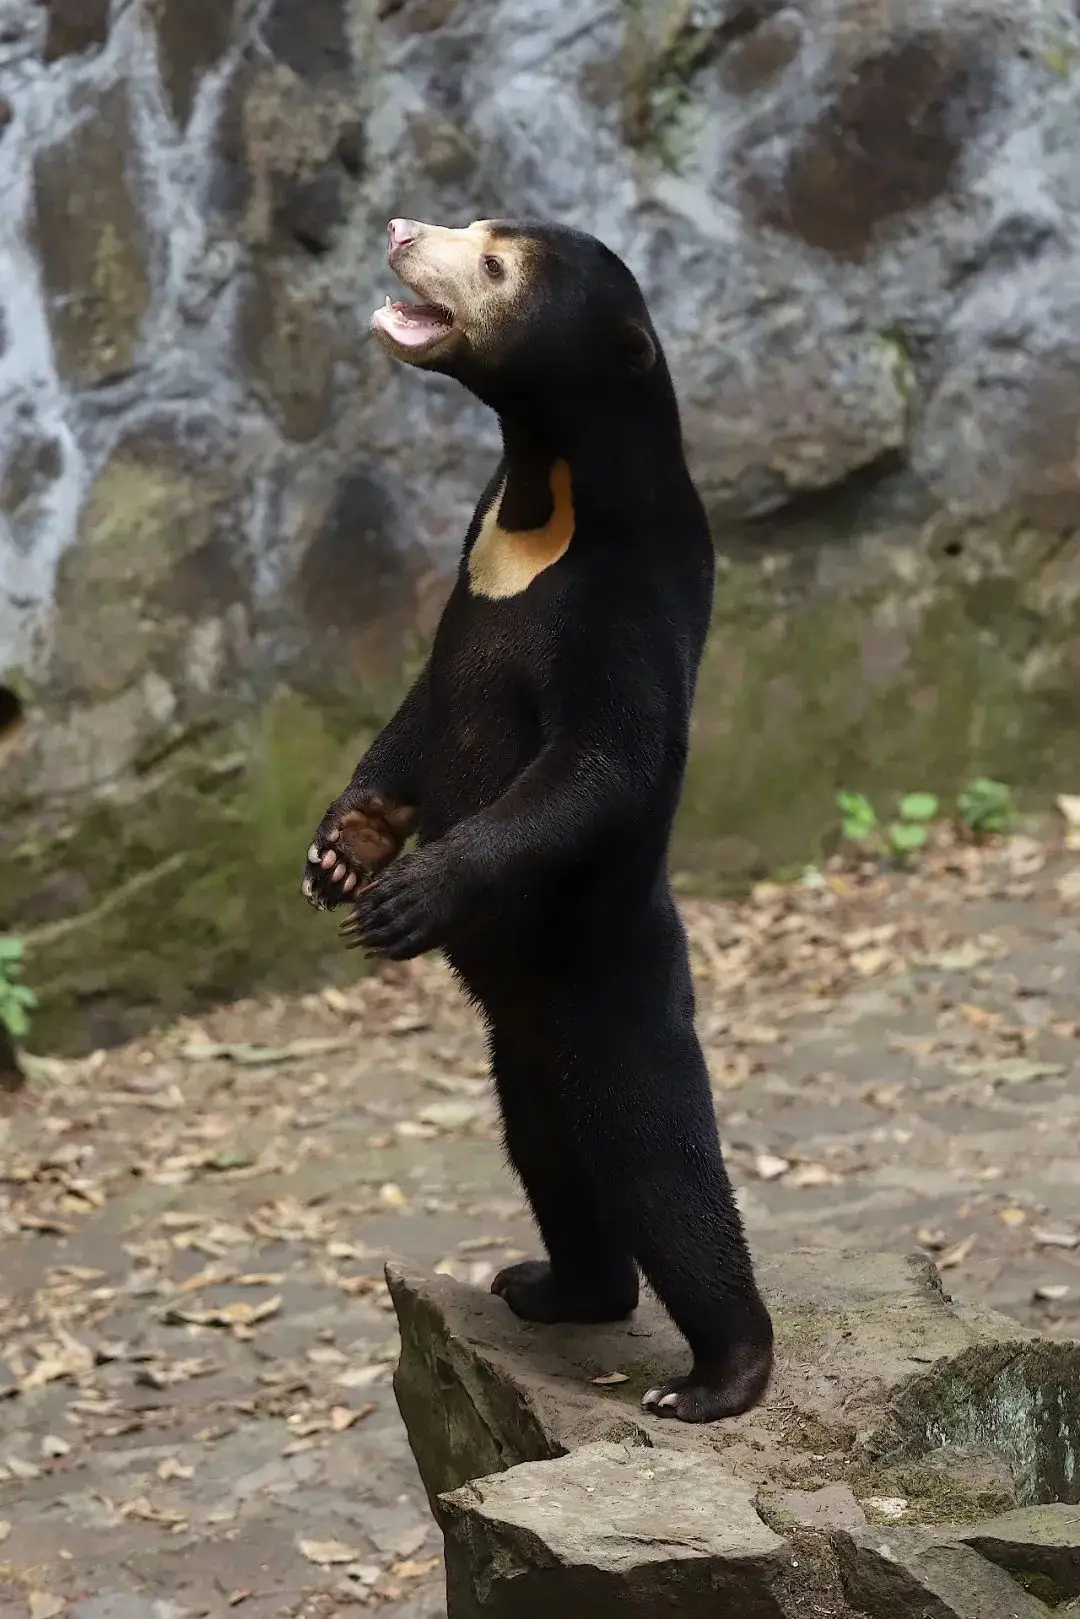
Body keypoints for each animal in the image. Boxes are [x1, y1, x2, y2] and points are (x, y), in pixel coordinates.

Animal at [302, 216, 774, 1421]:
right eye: (478, 225)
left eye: (494, 265)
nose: (398, 228)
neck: (541, 490)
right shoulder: (467, 576)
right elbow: (420, 713)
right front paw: (339, 854)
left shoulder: (624, 600)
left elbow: (598, 763)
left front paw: (407, 898)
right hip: (521, 1053)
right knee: (550, 1155)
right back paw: (553, 1285)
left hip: (611, 997)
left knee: (659, 1167)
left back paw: (720, 1376)